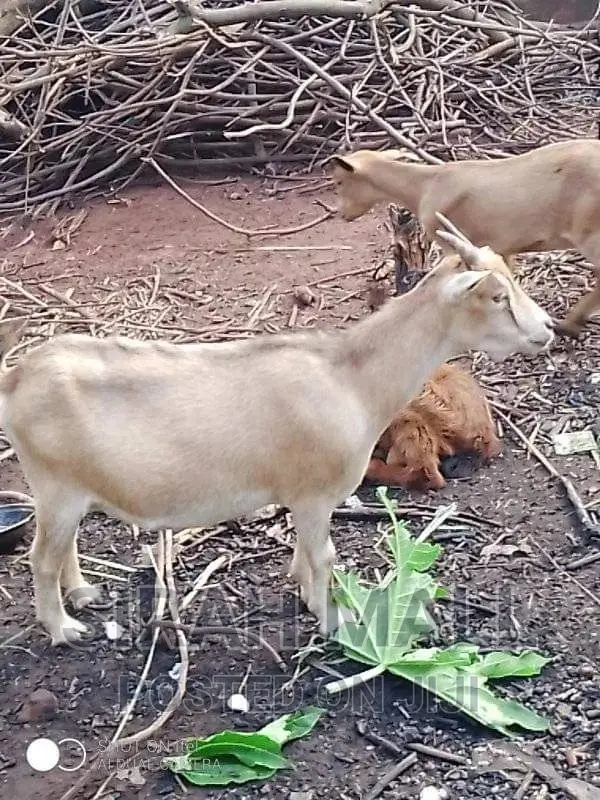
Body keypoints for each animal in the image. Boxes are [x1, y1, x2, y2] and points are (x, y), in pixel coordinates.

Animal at [329, 139, 600, 337]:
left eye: (340, 181)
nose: (342, 213)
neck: (423, 186)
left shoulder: (449, 242)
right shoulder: (499, 246)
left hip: (590, 234)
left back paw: (569, 323)